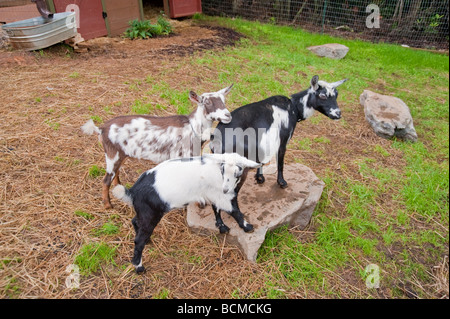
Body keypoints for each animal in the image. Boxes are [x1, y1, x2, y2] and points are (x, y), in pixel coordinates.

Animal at [81, 85, 234, 210]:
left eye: (224, 100)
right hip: (112, 154)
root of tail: (101, 129)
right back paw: (108, 205)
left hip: (119, 154)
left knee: (116, 173)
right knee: (106, 179)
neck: (193, 127)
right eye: (207, 102)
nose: (228, 115)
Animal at [112, 154, 260, 274]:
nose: (226, 189)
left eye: (237, 173)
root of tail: (133, 192)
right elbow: (234, 211)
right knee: (138, 240)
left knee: (135, 221)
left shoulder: (214, 193)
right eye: (223, 171)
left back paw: (148, 241)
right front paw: (247, 227)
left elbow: (216, 208)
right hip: (150, 214)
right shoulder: (221, 195)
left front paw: (222, 226)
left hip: (144, 212)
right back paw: (139, 268)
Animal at [211, 75, 348, 188]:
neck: (294, 108)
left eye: (336, 95)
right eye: (323, 95)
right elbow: (280, 162)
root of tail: (218, 140)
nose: (338, 114)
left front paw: (260, 178)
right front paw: (282, 182)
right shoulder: (282, 140)